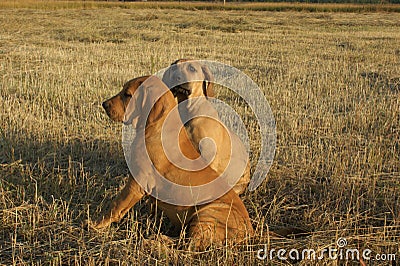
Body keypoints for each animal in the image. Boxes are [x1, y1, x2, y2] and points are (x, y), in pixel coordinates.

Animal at [96, 76, 253, 250]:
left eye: (128, 94)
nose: (104, 104)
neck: (156, 126)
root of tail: (250, 232)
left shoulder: (136, 184)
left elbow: (115, 206)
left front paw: (95, 225)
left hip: (206, 215)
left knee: (187, 246)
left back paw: (154, 242)